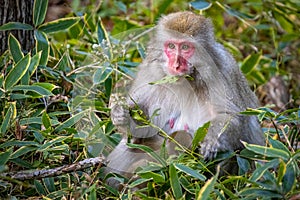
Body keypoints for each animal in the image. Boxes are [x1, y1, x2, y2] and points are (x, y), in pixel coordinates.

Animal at [107, 11, 264, 178]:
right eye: (171, 46)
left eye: (185, 47)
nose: (175, 65)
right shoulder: (150, 70)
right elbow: (142, 131)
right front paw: (120, 115)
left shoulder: (222, 70)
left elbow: (230, 116)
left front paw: (211, 140)